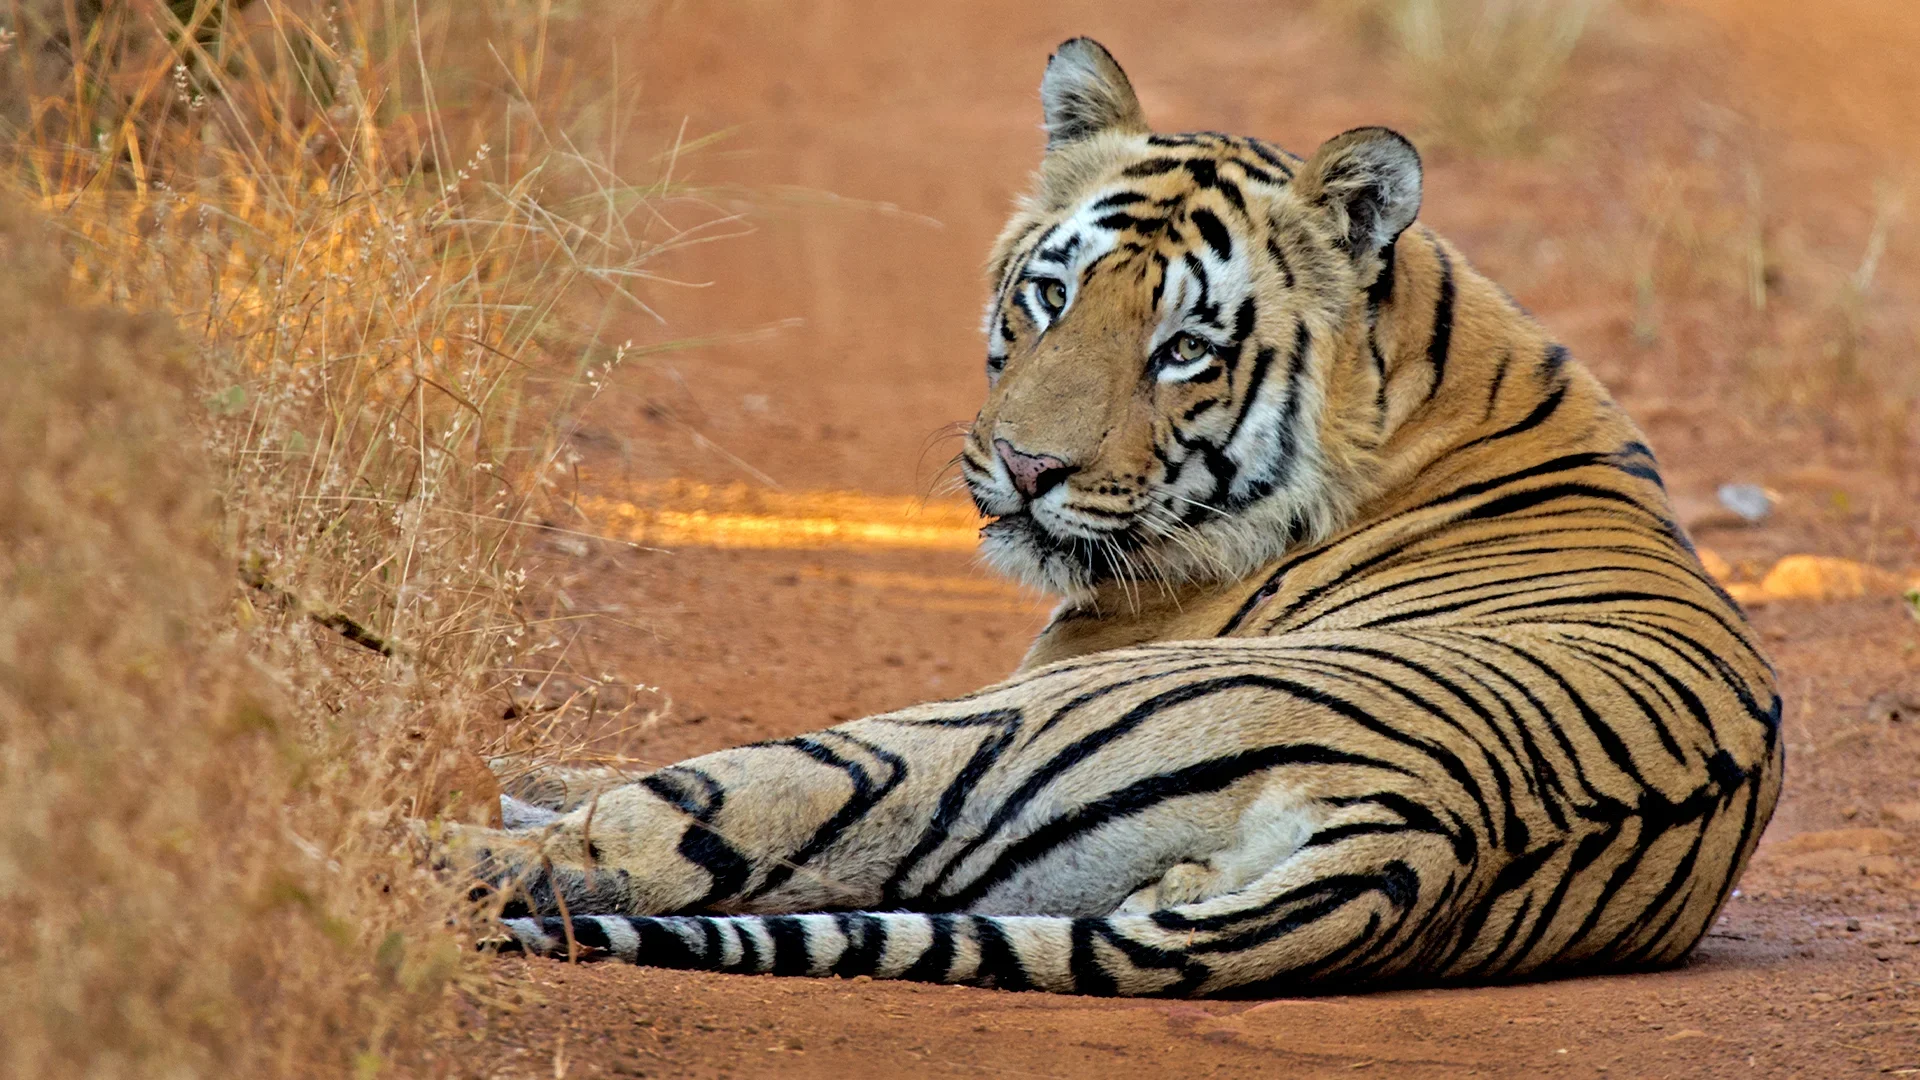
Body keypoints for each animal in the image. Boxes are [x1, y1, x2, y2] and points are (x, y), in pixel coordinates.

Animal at [441, 37, 1783, 997]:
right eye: (1051, 294)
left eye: (1185, 348)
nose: (1025, 467)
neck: (1420, 372)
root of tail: (1424, 838)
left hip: (951, 738)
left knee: (658, 838)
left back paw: (435, 841)